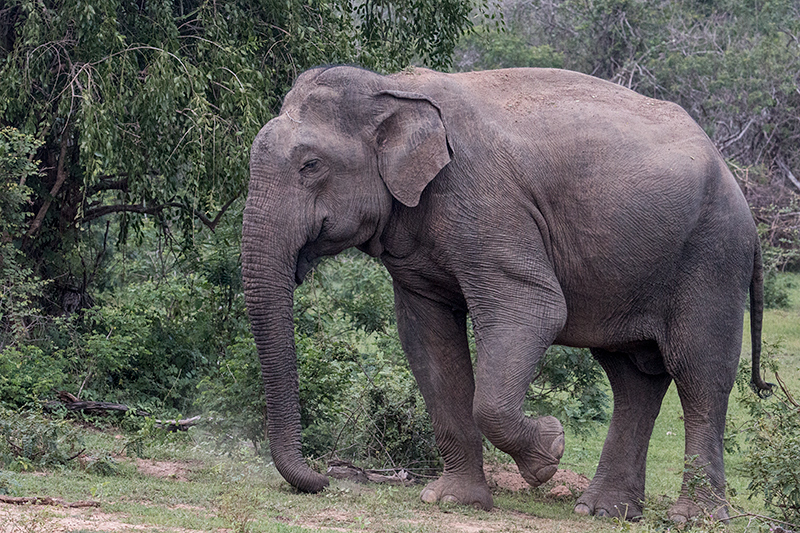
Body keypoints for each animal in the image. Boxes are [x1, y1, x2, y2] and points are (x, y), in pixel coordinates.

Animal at [241, 65, 772, 520]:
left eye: (311, 165)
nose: (325, 478)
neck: (392, 86)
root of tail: (738, 187)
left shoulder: (485, 201)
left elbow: (533, 309)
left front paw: (550, 449)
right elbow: (426, 339)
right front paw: (453, 501)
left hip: (712, 256)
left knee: (698, 372)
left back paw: (691, 517)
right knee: (632, 377)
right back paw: (601, 511)